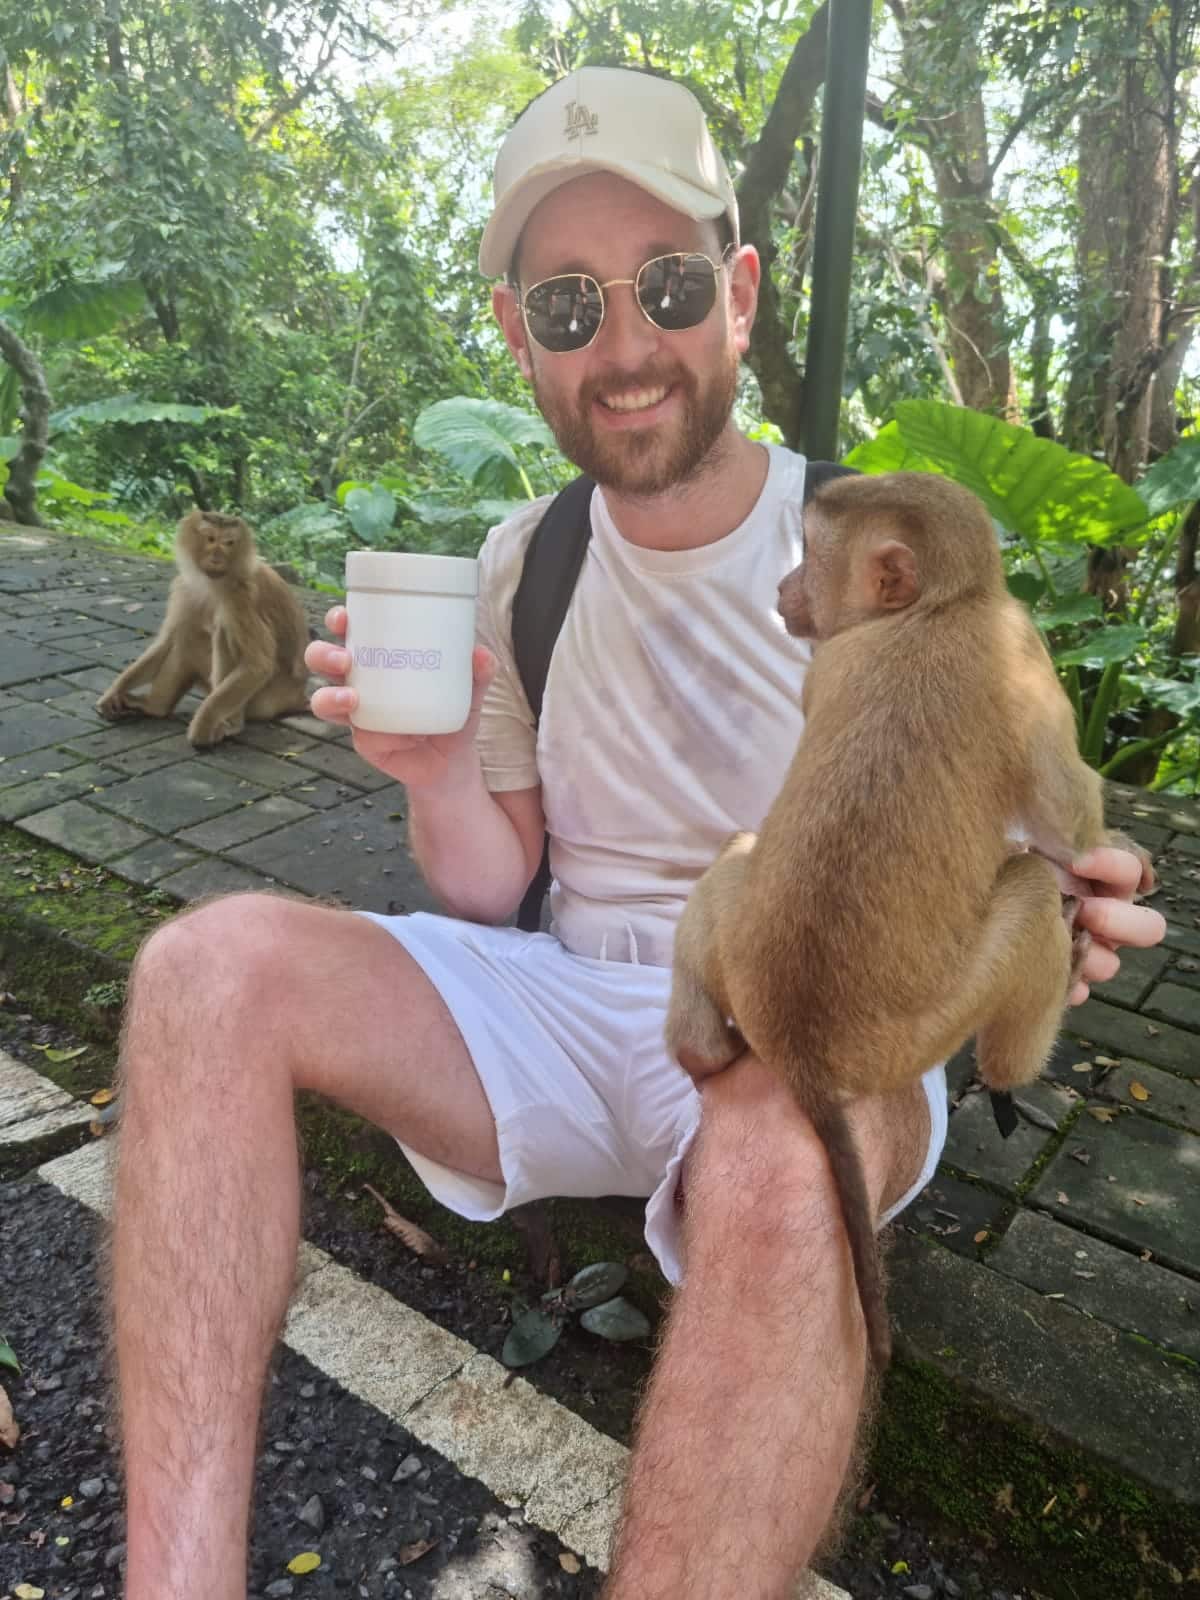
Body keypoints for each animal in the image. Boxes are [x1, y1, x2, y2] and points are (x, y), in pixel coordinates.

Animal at [96, 512, 312, 748]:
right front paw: (114, 692)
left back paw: (233, 724)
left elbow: (258, 664)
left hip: (266, 700)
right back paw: (156, 707)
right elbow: (166, 642)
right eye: (210, 539)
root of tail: (297, 695)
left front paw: (202, 726)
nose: (217, 556)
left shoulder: (239, 599)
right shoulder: (184, 588)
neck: (215, 583)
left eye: (229, 543)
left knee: (223, 632)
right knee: (186, 636)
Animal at [668, 467, 1158, 1369]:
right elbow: (1064, 816)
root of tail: (803, 1046)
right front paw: (1117, 855)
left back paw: (704, 1051)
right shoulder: (1024, 651)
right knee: (1029, 889)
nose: (783, 591)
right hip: (921, 1031)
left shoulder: (830, 660)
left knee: (740, 854)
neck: (939, 609)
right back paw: (1009, 1080)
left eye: (810, 557)